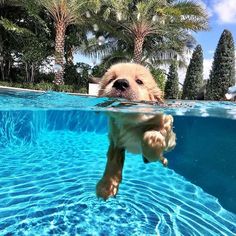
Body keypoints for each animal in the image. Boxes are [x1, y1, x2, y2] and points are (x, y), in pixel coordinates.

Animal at [95, 62, 175, 199]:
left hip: (171, 143)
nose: (120, 83)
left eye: (139, 81)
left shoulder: (165, 122)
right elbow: (112, 162)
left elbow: (154, 134)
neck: (130, 121)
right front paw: (107, 185)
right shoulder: (116, 142)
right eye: (111, 79)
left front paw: (154, 140)